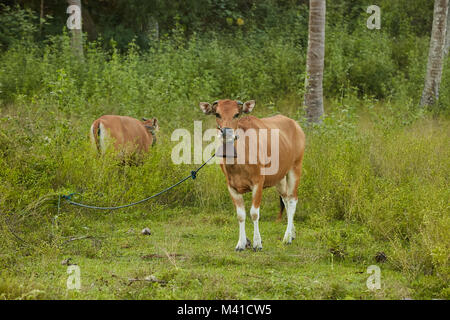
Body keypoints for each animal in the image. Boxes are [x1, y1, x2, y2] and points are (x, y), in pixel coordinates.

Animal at [200, 99, 306, 251]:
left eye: (236, 114)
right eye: (217, 114)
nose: (226, 132)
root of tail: (295, 125)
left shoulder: (258, 183)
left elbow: (254, 213)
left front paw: (257, 243)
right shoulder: (231, 187)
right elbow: (240, 215)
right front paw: (241, 243)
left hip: (295, 168)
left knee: (292, 201)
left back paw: (286, 238)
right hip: (279, 178)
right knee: (285, 200)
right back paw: (292, 234)